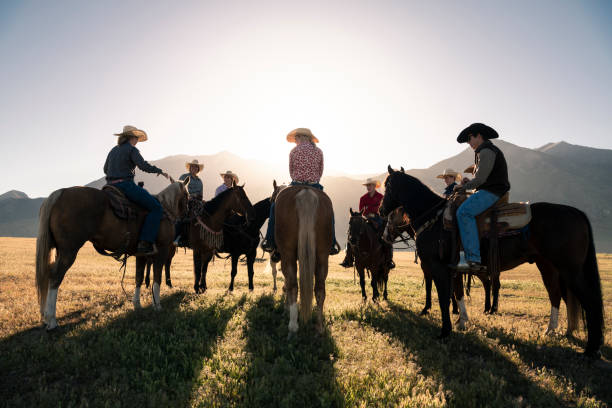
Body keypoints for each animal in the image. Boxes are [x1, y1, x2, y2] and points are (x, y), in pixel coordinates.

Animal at [35, 182, 188, 328]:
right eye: (187, 196)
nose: (185, 215)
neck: (165, 208)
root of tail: (61, 192)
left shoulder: (141, 255)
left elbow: (138, 278)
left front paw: (137, 304)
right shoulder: (162, 250)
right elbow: (157, 278)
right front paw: (157, 305)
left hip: (59, 250)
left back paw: (45, 317)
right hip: (69, 251)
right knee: (55, 277)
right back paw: (51, 320)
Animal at [276, 185, 334, 334]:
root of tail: (306, 191)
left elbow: (288, 282)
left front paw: (286, 308)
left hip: (288, 254)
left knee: (293, 286)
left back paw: (292, 325)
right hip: (322, 256)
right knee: (320, 289)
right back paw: (319, 327)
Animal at [380, 166, 604, 356]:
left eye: (387, 185)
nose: (381, 212)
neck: (434, 219)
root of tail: (576, 212)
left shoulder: (438, 267)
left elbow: (444, 298)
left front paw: (445, 331)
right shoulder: (454, 270)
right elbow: (458, 294)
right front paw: (462, 322)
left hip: (570, 270)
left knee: (589, 301)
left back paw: (590, 349)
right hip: (548, 266)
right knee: (557, 296)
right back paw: (553, 331)